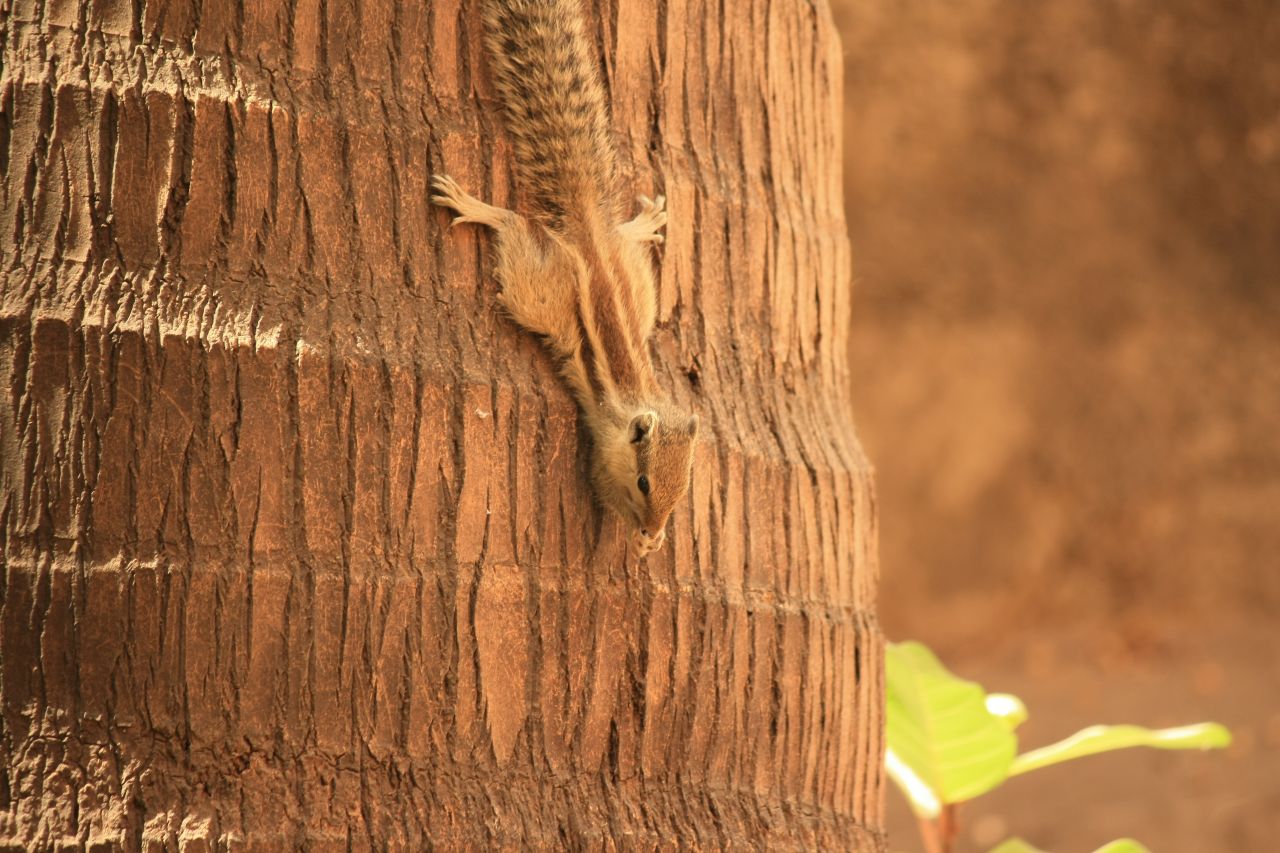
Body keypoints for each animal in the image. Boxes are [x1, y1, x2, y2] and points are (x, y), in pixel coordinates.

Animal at [435, 1, 701, 558]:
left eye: (684, 488)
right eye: (645, 483)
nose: (656, 525)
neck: (636, 407)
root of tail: (589, 234)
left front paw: (656, 538)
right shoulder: (603, 459)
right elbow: (605, 494)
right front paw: (642, 539)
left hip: (637, 281)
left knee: (622, 240)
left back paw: (642, 223)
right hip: (542, 294)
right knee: (513, 228)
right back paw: (476, 206)